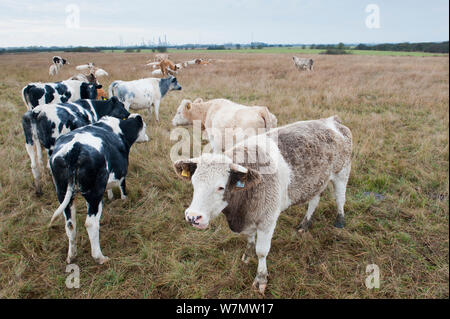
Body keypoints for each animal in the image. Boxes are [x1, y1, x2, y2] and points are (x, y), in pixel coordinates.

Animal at [48, 115, 149, 264]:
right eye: (145, 126)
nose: (147, 137)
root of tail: (74, 149)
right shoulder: (121, 173)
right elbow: (123, 188)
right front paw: (125, 200)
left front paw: (111, 197)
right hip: (94, 194)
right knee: (91, 223)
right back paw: (100, 257)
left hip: (63, 193)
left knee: (70, 224)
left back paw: (71, 256)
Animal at [172, 116, 352, 296]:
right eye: (194, 183)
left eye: (221, 187)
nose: (193, 217)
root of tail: (331, 120)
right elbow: (250, 239)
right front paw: (247, 255)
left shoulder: (267, 220)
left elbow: (262, 251)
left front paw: (261, 278)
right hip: (316, 182)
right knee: (314, 200)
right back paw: (305, 224)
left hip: (342, 173)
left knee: (340, 198)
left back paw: (340, 221)